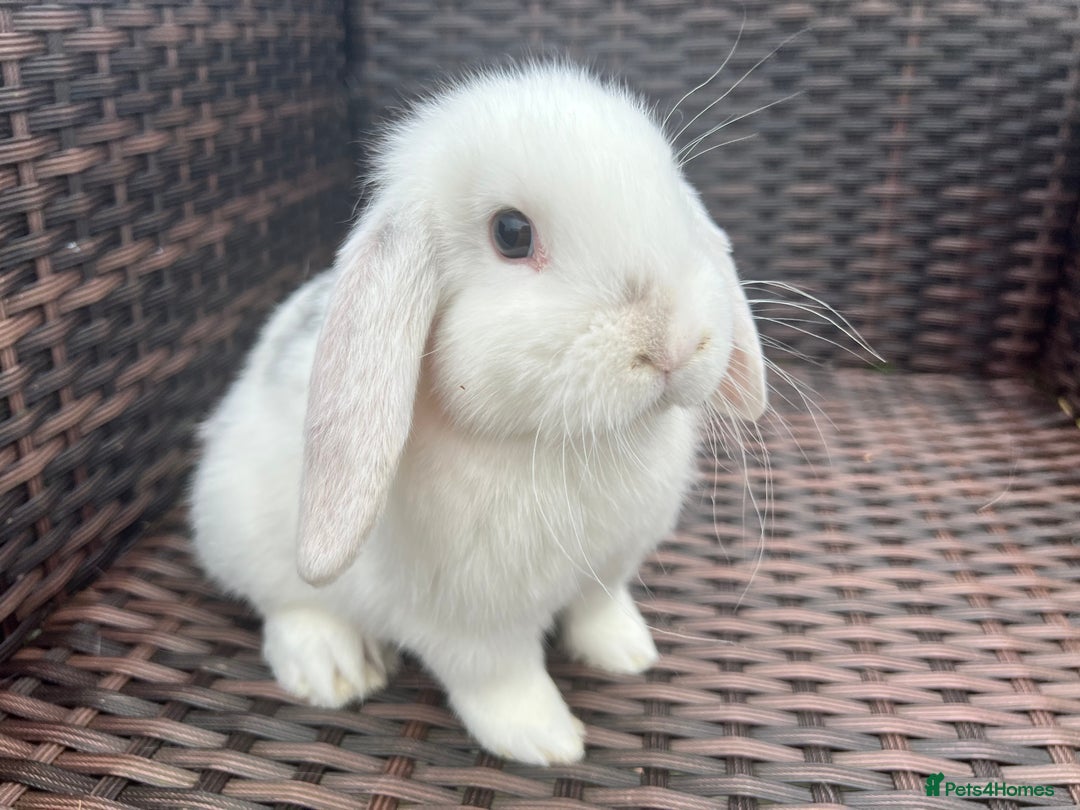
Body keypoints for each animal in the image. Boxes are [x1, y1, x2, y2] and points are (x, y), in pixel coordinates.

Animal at [190, 61, 767, 766]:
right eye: (511, 233)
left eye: (673, 201)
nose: (675, 344)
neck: (563, 443)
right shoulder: (471, 627)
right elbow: (501, 680)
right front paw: (547, 741)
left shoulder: (608, 571)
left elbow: (598, 612)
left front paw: (628, 653)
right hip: (242, 529)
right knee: (283, 602)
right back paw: (333, 668)